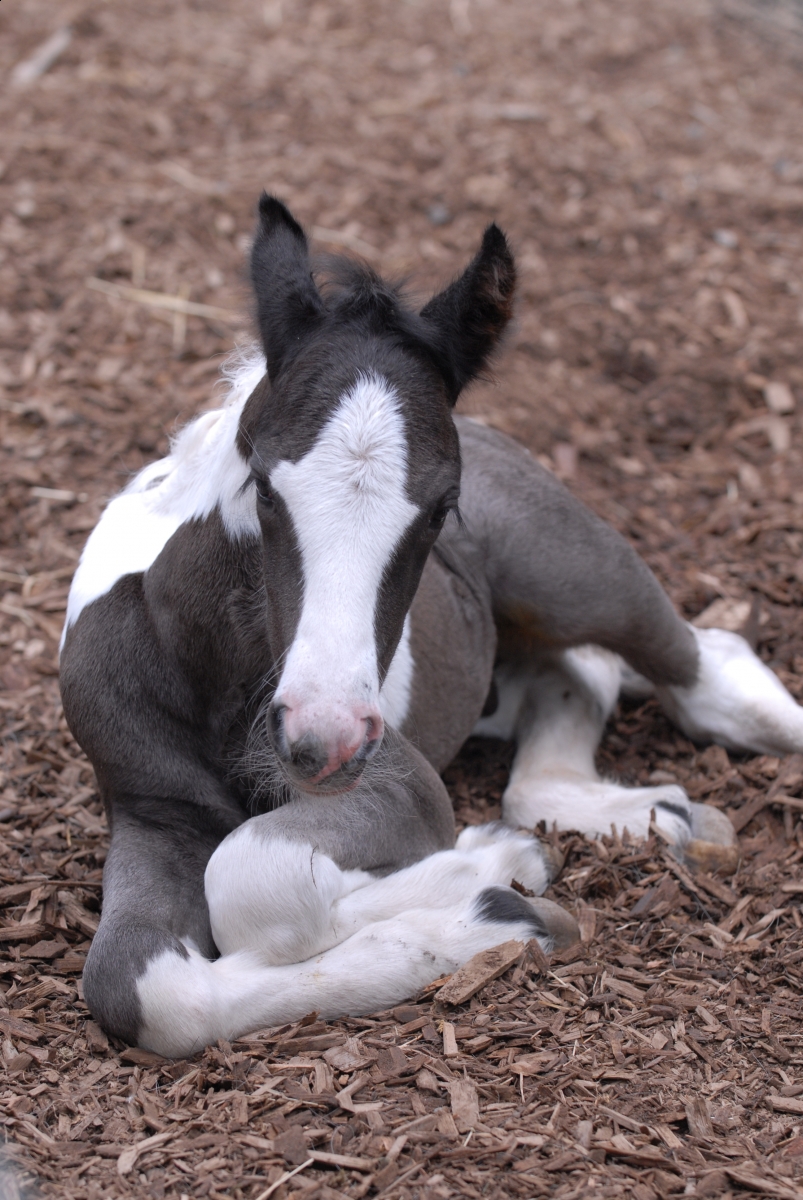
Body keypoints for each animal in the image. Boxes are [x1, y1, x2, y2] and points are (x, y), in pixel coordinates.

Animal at [60, 195, 803, 1057]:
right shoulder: (152, 810)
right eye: (264, 485)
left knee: (700, 664)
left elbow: (250, 875)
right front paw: (489, 891)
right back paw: (639, 817)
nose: (323, 739)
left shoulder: (397, 781)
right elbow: (142, 989)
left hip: (567, 567)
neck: (204, 665)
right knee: (572, 682)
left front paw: (485, 885)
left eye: (444, 505)